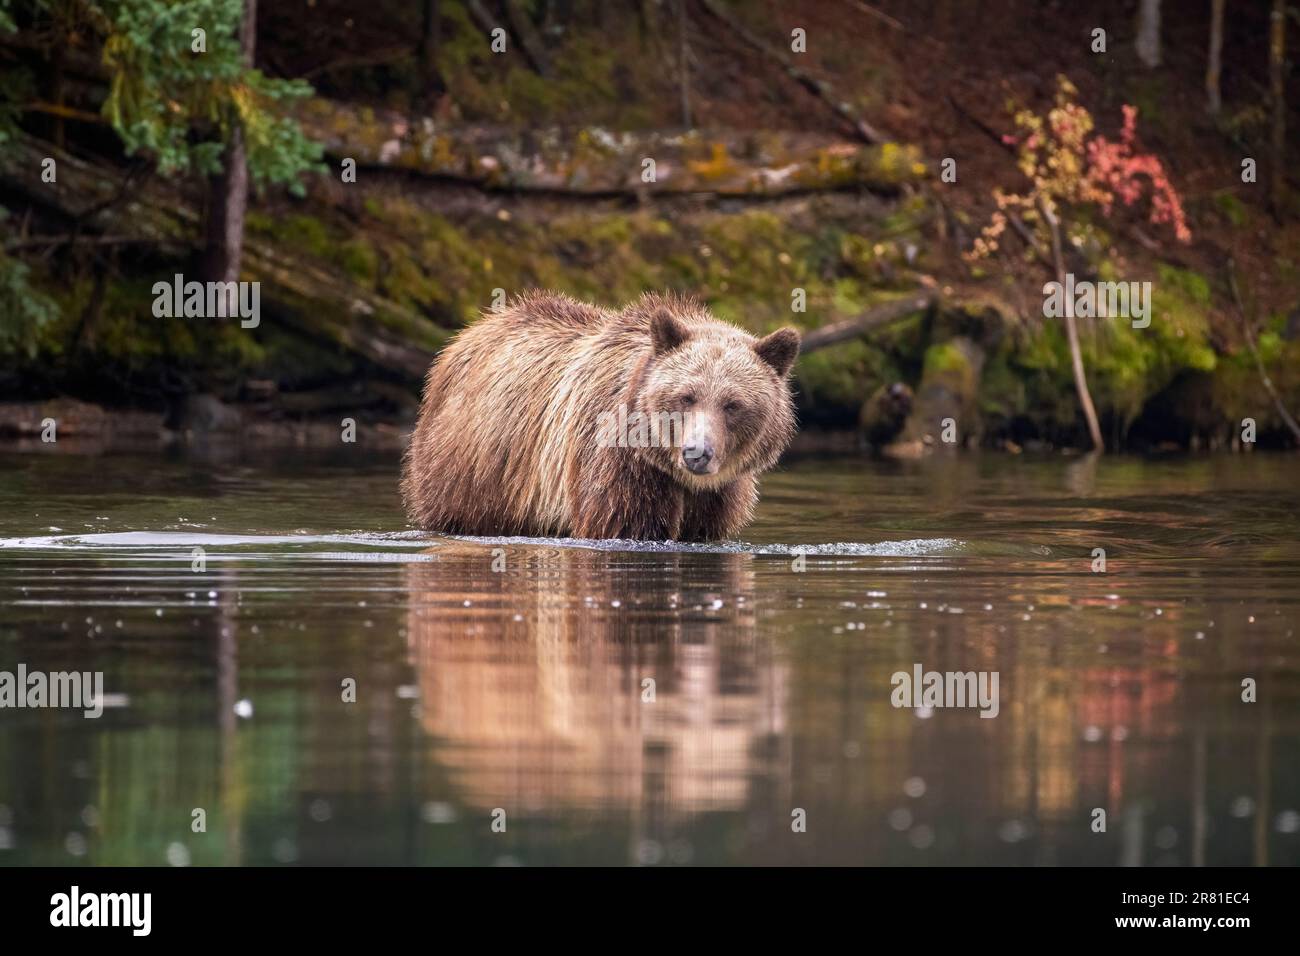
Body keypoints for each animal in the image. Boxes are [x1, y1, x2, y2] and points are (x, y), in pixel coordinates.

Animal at [401, 291, 800, 541]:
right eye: (686, 397)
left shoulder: (717, 496)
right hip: (472, 470)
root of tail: (469, 333)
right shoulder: (617, 462)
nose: (697, 453)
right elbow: (623, 524)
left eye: (733, 404)